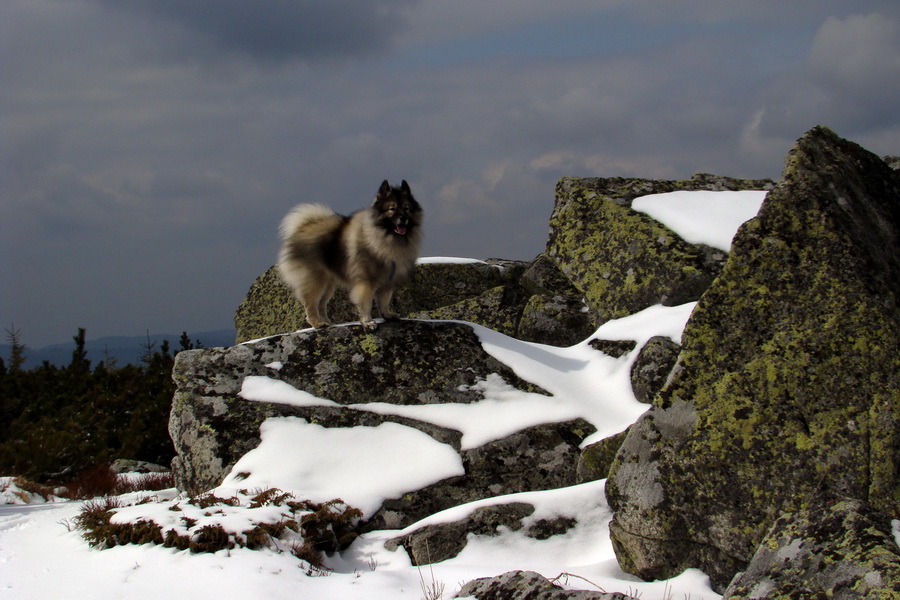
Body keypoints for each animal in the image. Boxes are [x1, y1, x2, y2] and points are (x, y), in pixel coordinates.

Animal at [276, 180, 424, 330]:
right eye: (392, 209)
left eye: (406, 208)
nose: (403, 218)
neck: (386, 239)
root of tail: (302, 228)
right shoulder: (366, 282)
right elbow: (366, 304)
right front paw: (368, 322)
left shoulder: (388, 281)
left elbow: (384, 302)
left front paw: (388, 315)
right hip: (315, 281)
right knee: (311, 304)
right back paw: (317, 323)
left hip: (329, 284)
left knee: (322, 304)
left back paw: (328, 323)